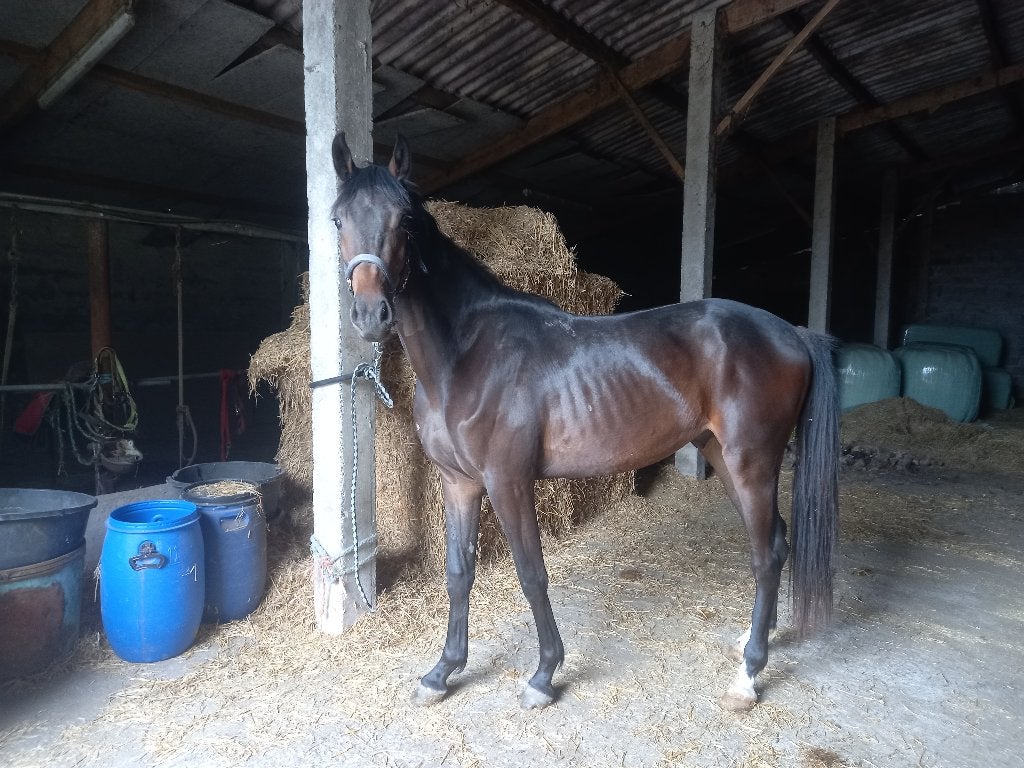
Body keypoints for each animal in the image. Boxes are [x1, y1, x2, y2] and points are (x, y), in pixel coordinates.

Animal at [328, 133, 840, 712]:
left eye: (404, 220)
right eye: (338, 220)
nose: (371, 316)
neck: (465, 356)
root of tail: (792, 333)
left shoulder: (508, 482)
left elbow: (532, 574)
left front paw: (544, 674)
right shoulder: (458, 483)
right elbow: (458, 574)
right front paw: (443, 672)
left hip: (753, 463)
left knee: (766, 555)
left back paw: (748, 675)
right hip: (723, 456)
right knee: (775, 541)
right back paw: (759, 638)